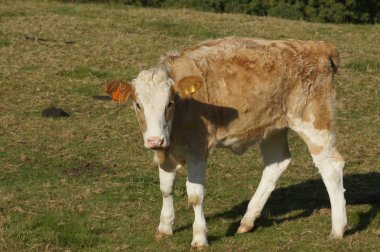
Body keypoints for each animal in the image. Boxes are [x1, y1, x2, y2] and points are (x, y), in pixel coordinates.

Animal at [105, 37, 346, 248]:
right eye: (138, 104)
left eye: (169, 103)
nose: (155, 139)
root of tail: (319, 47)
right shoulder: (166, 151)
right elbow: (166, 188)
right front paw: (165, 227)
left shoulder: (197, 148)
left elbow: (195, 195)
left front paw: (199, 237)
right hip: (272, 128)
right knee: (277, 162)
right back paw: (247, 221)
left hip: (314, 122)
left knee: (331, 167)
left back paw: (338, 229)